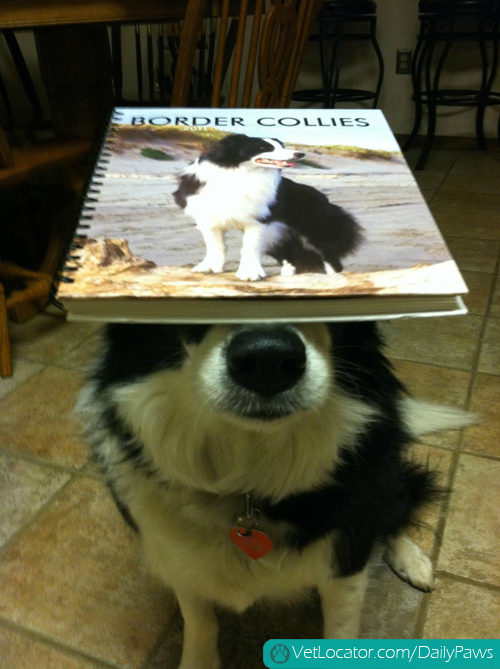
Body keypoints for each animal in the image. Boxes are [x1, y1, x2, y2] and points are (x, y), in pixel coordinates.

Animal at [76, 320, 470, 664]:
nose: (268, 359)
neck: (247, 483)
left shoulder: (345, 558)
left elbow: (341, 629)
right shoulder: (173, 553)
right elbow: (199, 621)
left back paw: (412, 560)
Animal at [174, 134, 362, 280]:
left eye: (282, 146)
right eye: (264, 147)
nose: (300, 154)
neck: (242, 173)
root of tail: (323, 198)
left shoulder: (259, 220)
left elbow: (249, 247)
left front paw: (250, 274)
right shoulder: (208, 219)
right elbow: (216, 246)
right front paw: (210, 267)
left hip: (315, 232)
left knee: (330, 258)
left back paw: (335, 279)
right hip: (279, 235)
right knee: (290, 258)